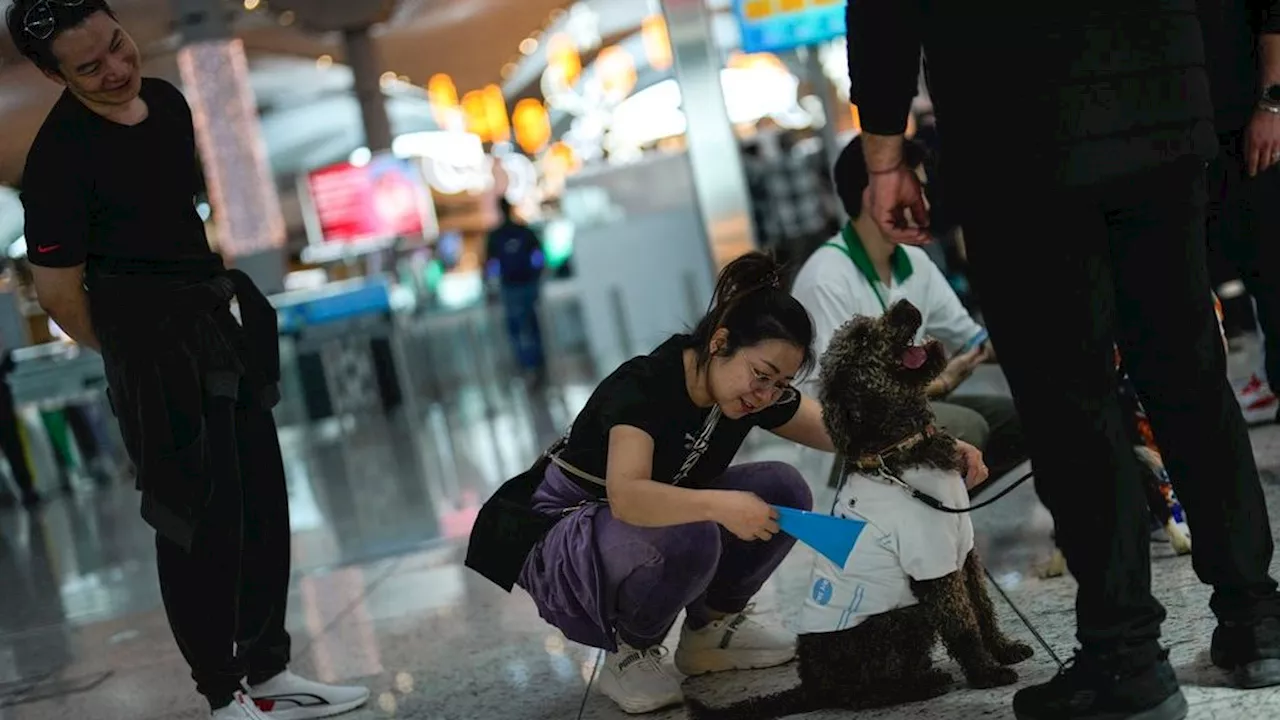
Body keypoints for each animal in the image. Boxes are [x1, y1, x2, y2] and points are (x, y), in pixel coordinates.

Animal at [691, 299, 1029, 712]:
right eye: (863, 339)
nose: (904, 305)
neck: (901, 445)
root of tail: (810, 683)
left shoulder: (964, 550)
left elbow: (982, 607)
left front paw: (1004, 649)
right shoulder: (932, 564)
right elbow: (963, 623)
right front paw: (986, 673)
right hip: (899, 619)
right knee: (861, 694)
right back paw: (922, 685)